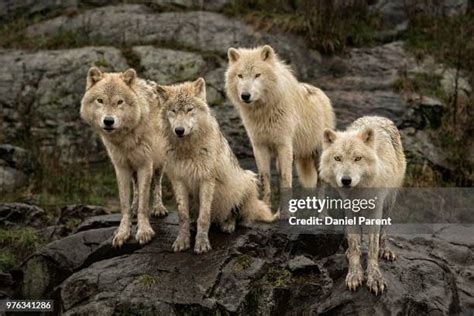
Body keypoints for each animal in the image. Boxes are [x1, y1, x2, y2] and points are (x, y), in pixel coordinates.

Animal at [81, 67, 168, 247]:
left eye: (119, 102)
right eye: (100, 100)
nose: (108, 121)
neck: (125, 139)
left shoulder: (145, 164)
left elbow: (144, 203)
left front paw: (144, 232)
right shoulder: (121, 167)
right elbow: (125, 204)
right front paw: (122, 233)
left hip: (159, 163)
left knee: (157, 184)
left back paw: (158, 208)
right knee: (135, 188)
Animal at [225, 43, 334, 207]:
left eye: (257, 75)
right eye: (240, 75)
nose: (245, 96)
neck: (263, 112)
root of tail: (321, 93)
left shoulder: (284, 145)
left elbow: (285, 178)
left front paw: (286, 210)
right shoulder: (259, 146)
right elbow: (265, 179)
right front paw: (266, 207)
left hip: (317, 154)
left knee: (321, 183)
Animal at [318, 115, 408, 294]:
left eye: (357, 158)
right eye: (337, 158)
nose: (346, 180)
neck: (360, 190)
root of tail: (376, 116)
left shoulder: (376, 209)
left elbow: (372, 247)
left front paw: (374, 278)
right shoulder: (349, 208)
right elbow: (354, 244)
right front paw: (354, 274)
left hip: (389, 201)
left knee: (383, 231)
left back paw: (385, 250)